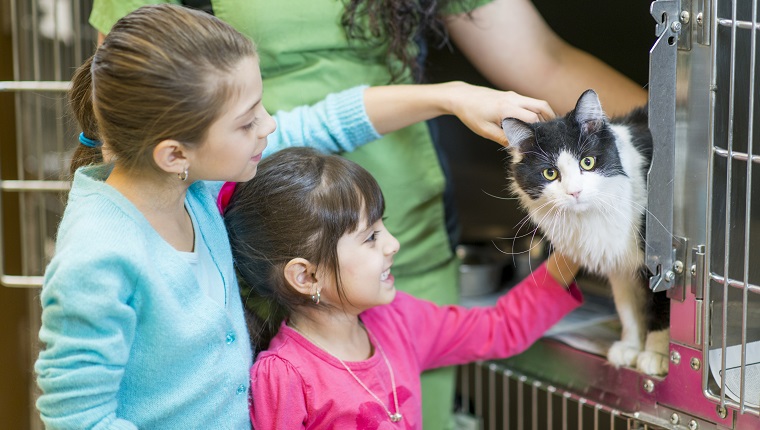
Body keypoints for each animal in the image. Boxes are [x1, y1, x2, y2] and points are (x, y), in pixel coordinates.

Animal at [504, 89, 672, 374]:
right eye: (550, 173)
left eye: (588, 162)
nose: (575, 192)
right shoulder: (618, 264)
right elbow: (628, 309)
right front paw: (630, 347)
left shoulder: (662, 263)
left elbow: (662, 307)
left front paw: (657, 355)